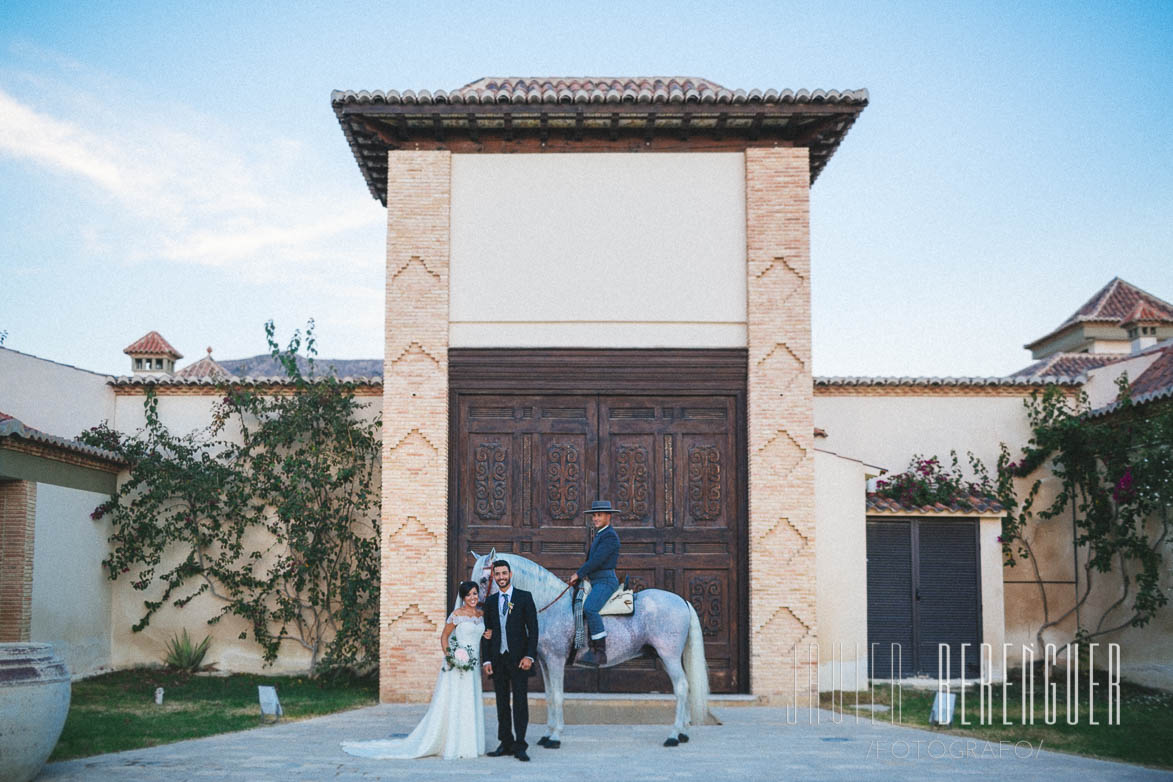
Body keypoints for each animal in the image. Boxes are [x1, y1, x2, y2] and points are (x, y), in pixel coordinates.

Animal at [471, 551, 708, 745]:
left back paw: (673, 735)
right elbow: (549, 696)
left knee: (681, 687)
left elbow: (558, 696)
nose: (476, 608)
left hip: (669, 656)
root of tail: (682, 601)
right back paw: (683, 733)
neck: (551, 605)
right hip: (668, 658)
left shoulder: (556, 660)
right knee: (684, 687)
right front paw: (547, 733)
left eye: (483, 579)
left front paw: (555, 737)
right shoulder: (545, 662)